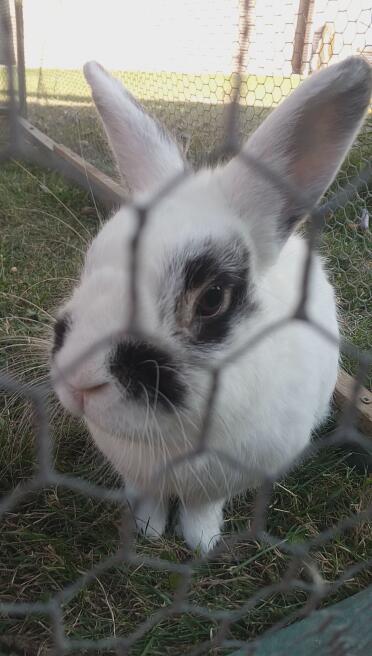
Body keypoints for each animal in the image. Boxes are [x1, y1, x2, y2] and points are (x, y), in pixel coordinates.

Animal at [50, 56, 372, 552]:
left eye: (212, 299)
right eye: (93, 259)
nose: (79, 380)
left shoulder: (228, 477)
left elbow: (203, 506)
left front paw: (201, 543)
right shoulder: (136, 472)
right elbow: (148, 496)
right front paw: (148, 530)